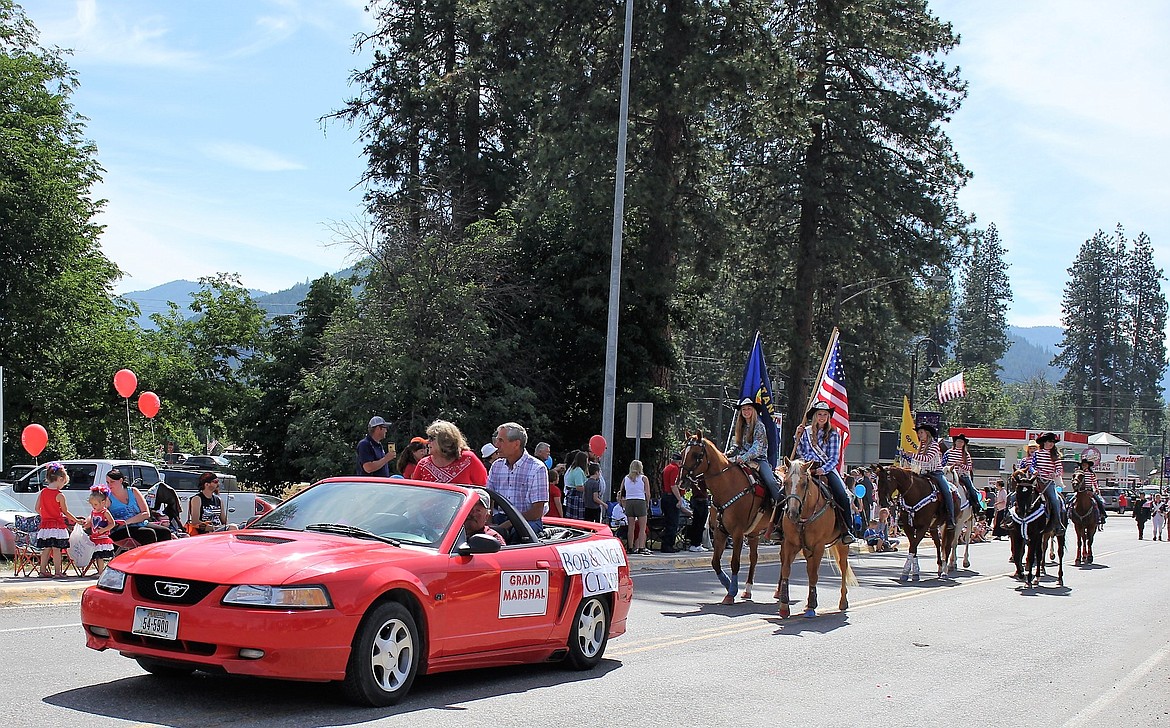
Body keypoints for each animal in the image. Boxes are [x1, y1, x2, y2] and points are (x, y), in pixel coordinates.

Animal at [683, 433, 772, 603]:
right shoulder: (720, 531)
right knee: (754, 558)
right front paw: (728, 584)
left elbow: (735, 562)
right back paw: (748, 590)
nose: (682, 480)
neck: (728, 486)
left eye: (696, 455)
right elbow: (715, 562)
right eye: (683, 452)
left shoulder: (737, 533)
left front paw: (731, 592)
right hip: (753, 533)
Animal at [772, 458, 856, 617]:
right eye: (785, 483)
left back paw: (843, 602)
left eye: (804, 483)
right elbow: (786, 569)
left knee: (843, 566)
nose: (792, 513)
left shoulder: (818, 547)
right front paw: (784, 605)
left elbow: (813, 574)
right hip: (807, 549)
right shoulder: (790, 543)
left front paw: (812, 605)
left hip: (842, 545)